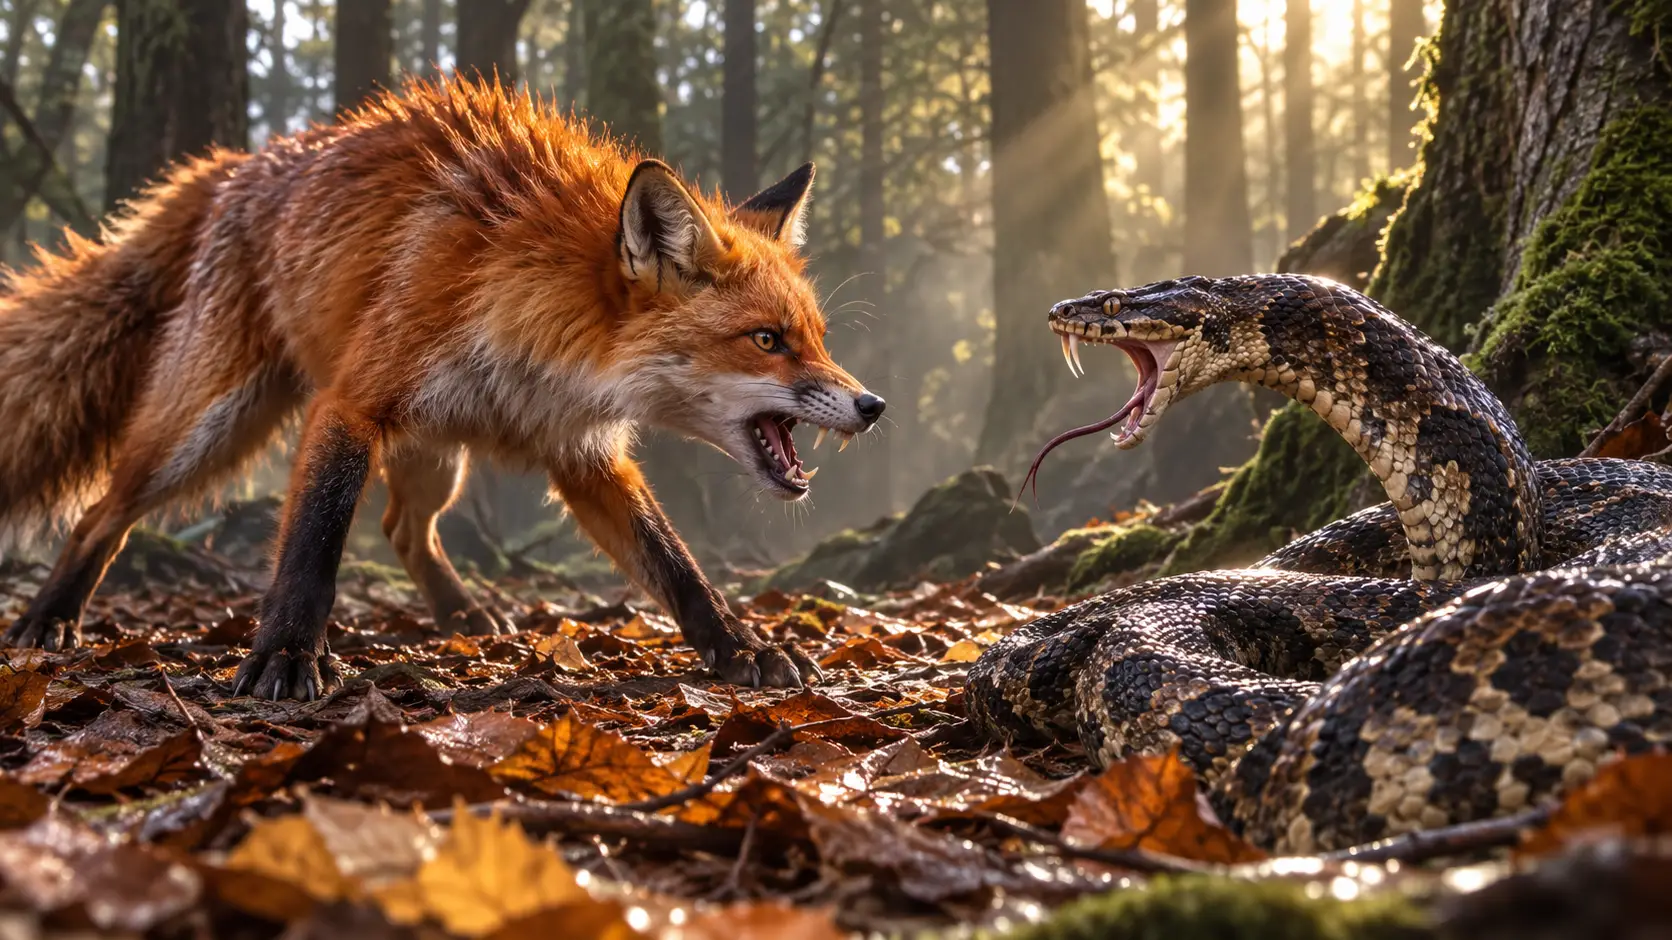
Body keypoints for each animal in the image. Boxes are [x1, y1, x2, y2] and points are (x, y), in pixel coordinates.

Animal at [0, 76, 885, 700]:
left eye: (818, 339)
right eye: (767, 341)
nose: (874, 407)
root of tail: (236, 164)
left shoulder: (585, 455)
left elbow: (677, 569)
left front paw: (741, 647)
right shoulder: (353, 404)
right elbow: (314, 545)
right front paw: (286, 654)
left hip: (435, 452)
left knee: (402, 527)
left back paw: (461, 612)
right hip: (210, 428)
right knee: (102, 511)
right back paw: (49, 619)